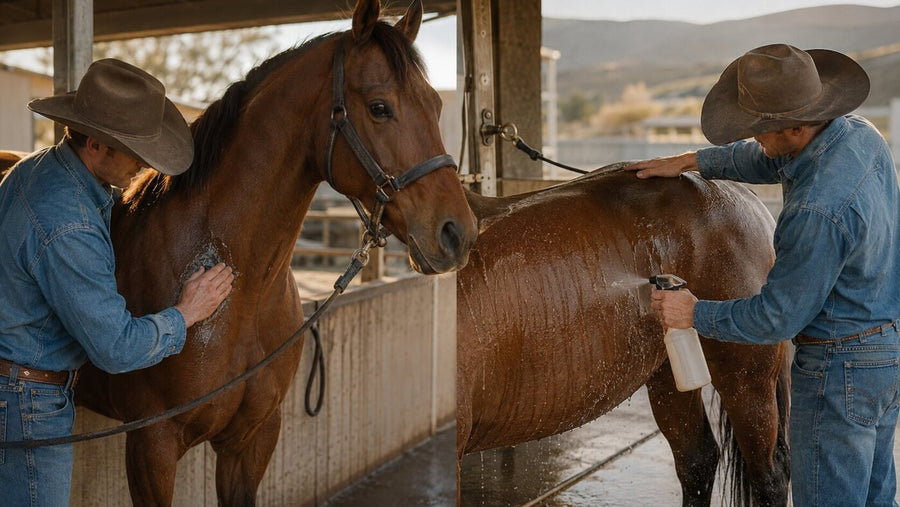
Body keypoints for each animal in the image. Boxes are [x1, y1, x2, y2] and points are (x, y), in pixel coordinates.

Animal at [72, 0, 477, 505]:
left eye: (438, 105)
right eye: (380, 107)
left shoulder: (253, 438)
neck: (239, 287)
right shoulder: (152, 446)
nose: (458, 233)